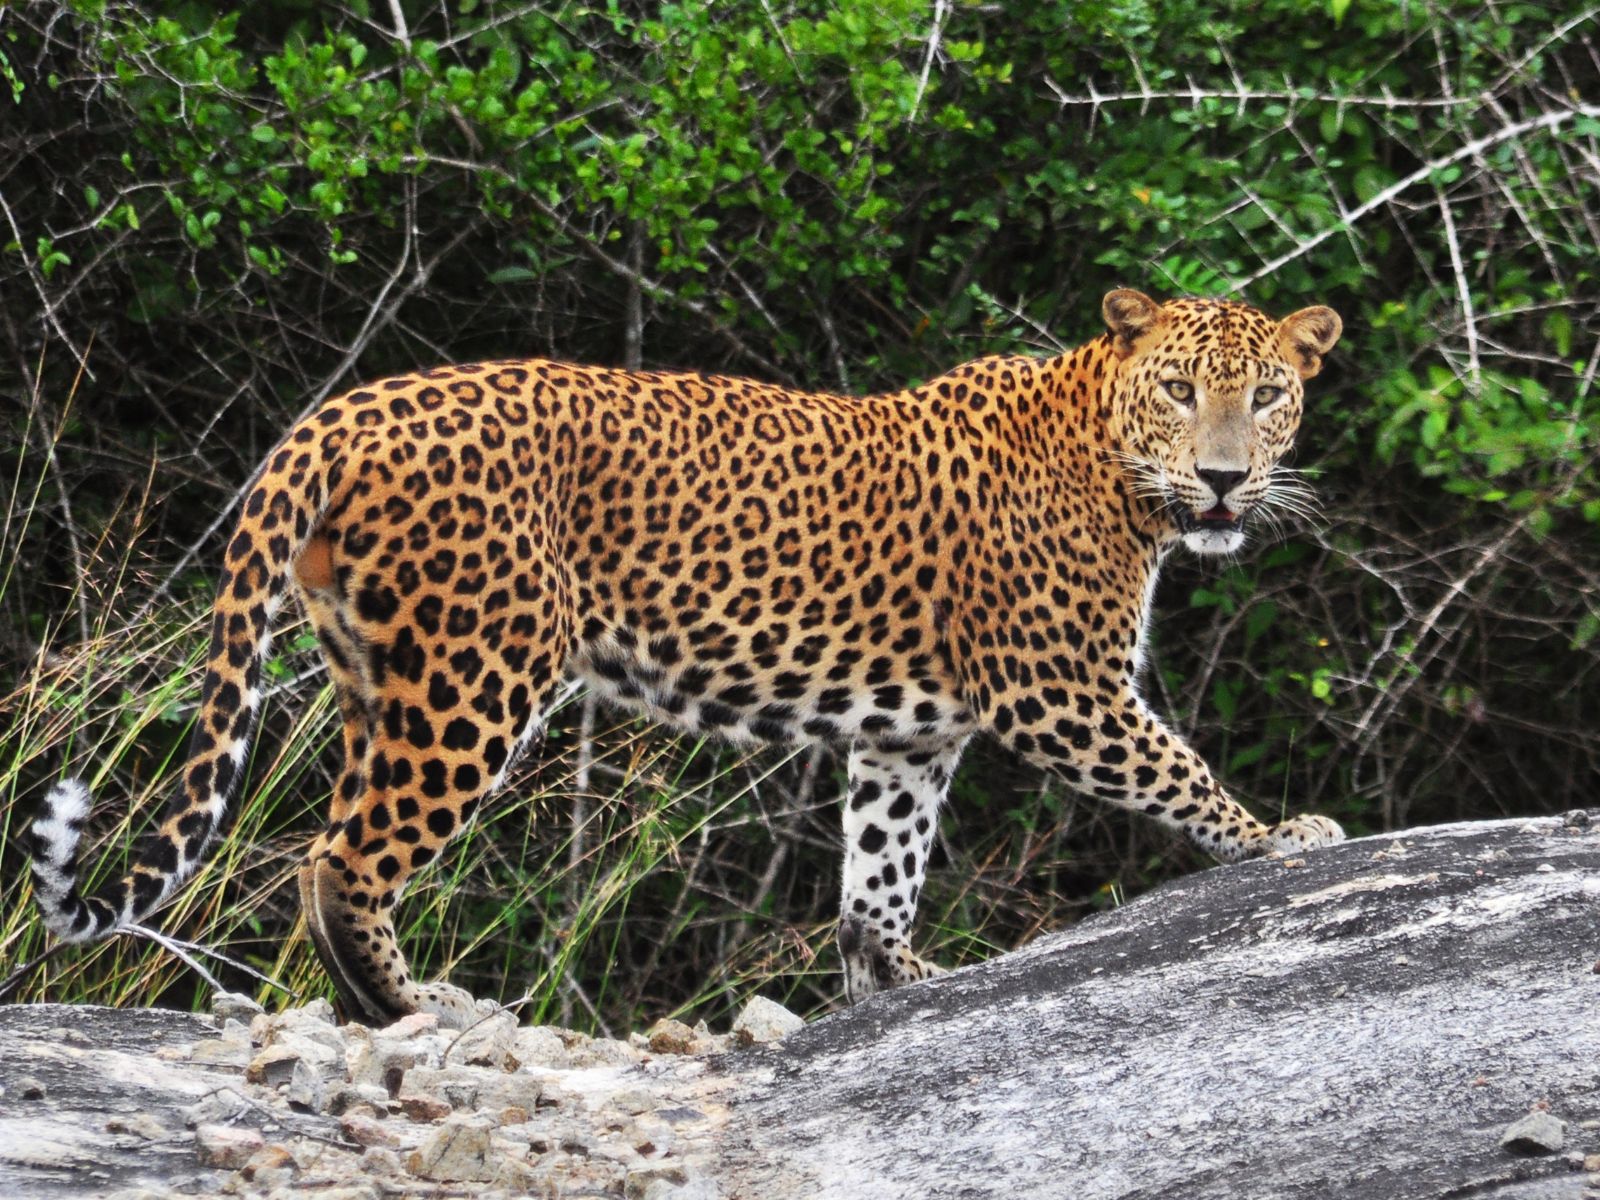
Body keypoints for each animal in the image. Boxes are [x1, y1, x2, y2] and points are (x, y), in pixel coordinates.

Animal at [29, 289, 1345, 1028]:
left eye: (1268, 394)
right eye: (1179, 389)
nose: (1223, 478)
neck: (1123, 475)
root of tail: (341, 411)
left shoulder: (908, 734)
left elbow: (879, 869)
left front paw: (893, 979)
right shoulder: (1057, 687)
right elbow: (1177, 770)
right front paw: (1283, 837)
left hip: (377, 677)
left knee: (335, 840)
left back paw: (385, 1005)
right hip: (476, 673)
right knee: (343, 857)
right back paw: (413, 1007)